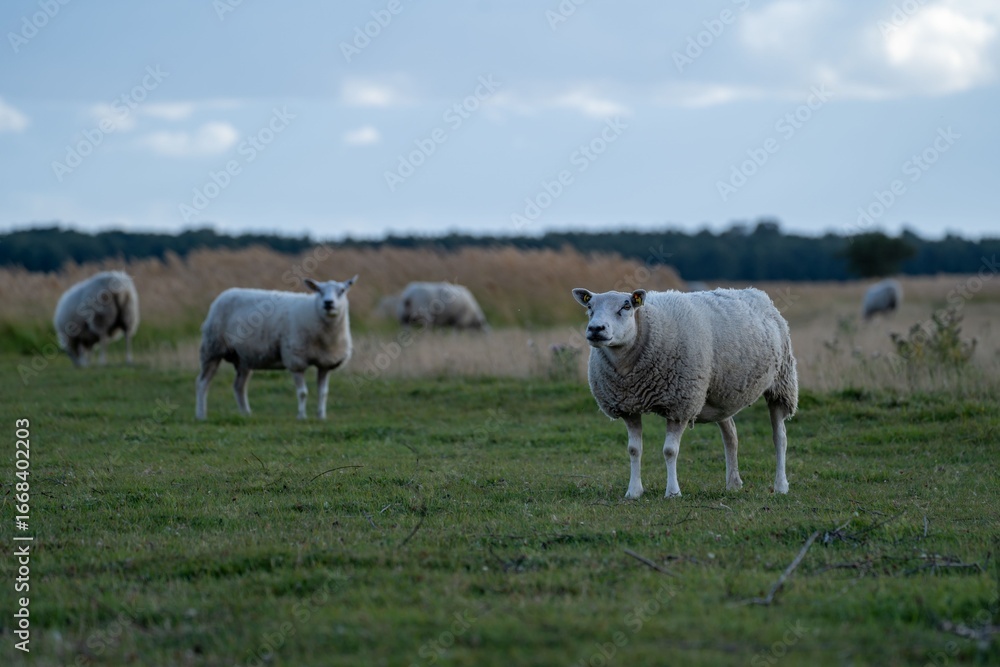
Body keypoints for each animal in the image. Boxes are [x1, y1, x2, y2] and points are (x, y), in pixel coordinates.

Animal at [195, 276, 357, 420]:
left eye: (342, 290)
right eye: (319, 290)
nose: (328, 303)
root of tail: (226, 293)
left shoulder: (325, 363)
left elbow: (323, 392)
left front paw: (321, 416)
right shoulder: (295, 360)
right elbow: (302, 393)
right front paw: (302, 416)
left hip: (243, 357)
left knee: (239, 386)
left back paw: (246, 414)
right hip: (212, 348)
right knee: (202, 383)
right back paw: (201, 415)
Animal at [571, 286, 798, 499]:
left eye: (626, 306)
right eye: (589, 307)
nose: (596, 328)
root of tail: (756, 292)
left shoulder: (680, 404)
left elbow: (670, 451)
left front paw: (673, 492)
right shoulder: (629, 406)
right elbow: (634, 450)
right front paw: (633, 491)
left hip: (781, 383)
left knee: (780, 437)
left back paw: (781, 486)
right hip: (721, 395)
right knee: (731, 435)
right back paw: (733, 484)